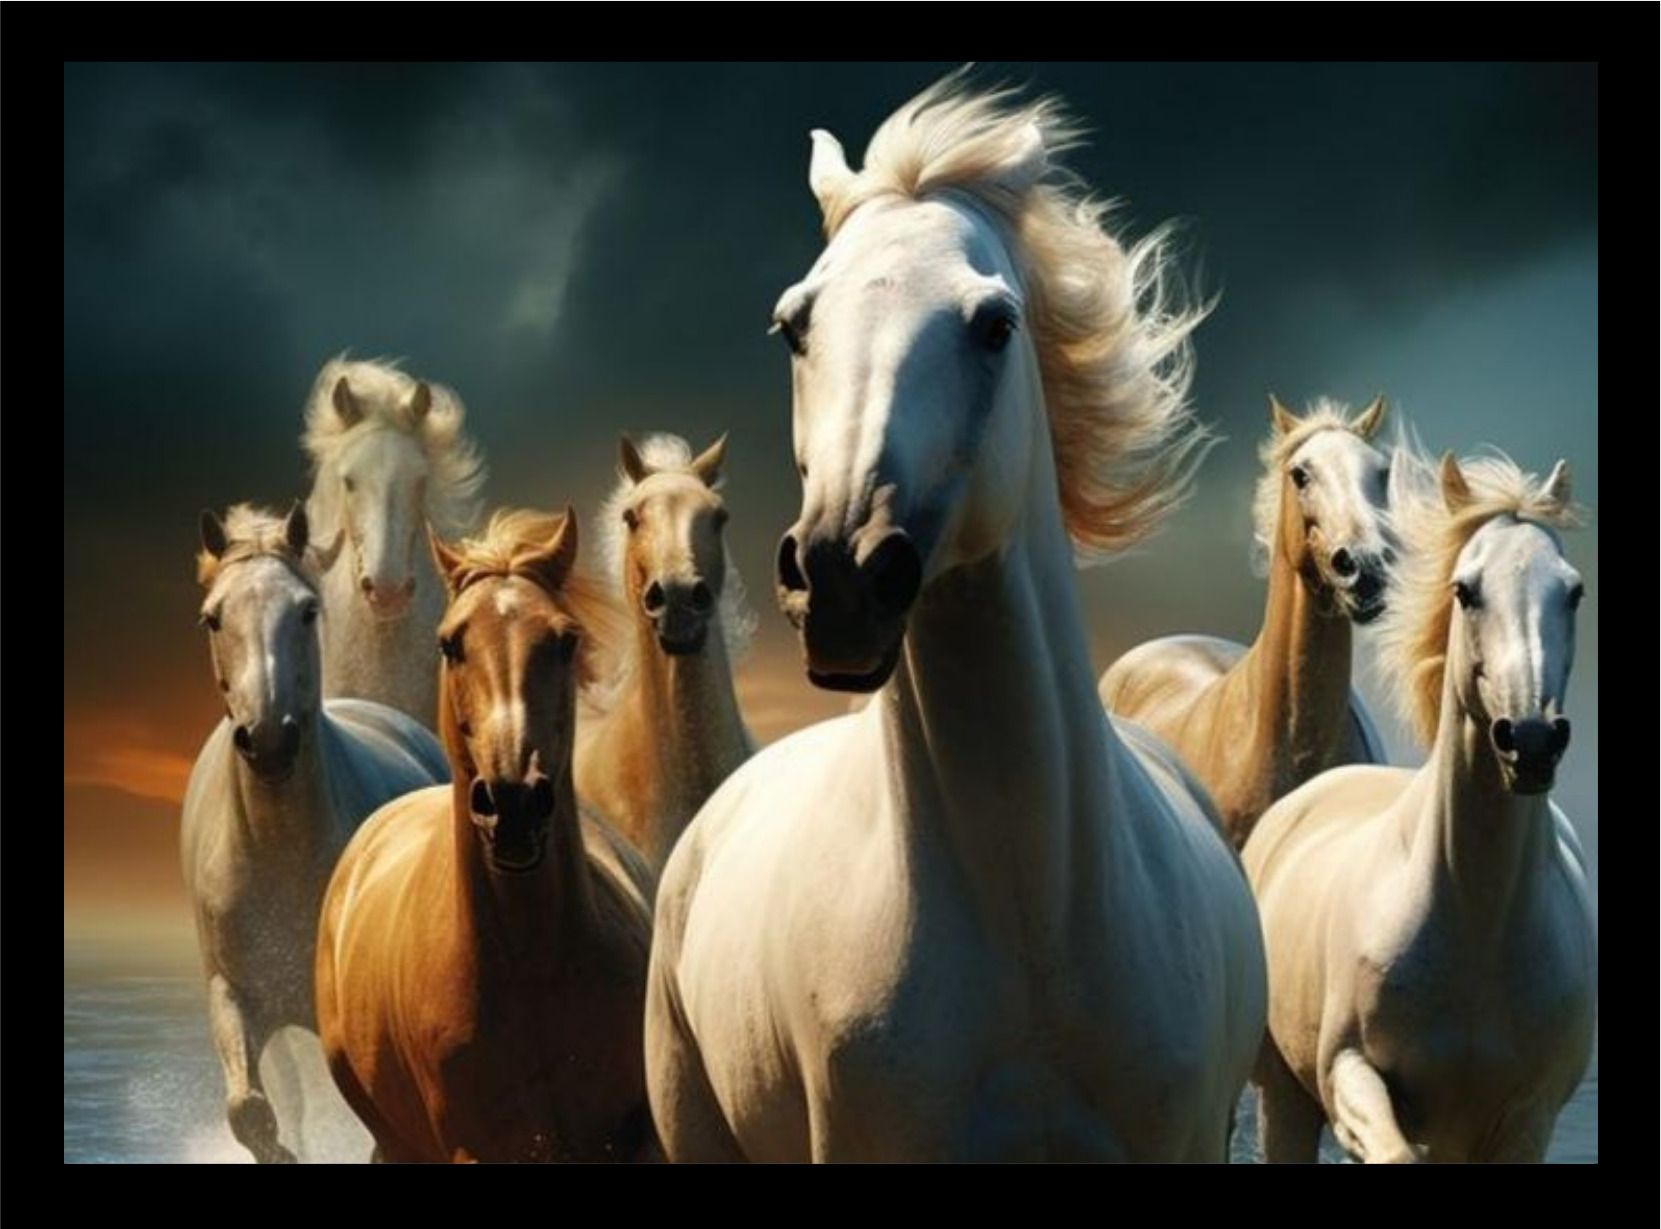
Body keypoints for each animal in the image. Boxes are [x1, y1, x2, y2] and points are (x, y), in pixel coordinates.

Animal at [180, 503, 449, 1163]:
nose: (269, 739)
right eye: (212, 617)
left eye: (305, 610)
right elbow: (250, 1111)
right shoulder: (234, 995)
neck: (280, 852)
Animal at [1242, 449, 1596, 1162]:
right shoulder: (1350, 1074)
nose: (1531, 740)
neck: (1476, 924)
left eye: (1572, 590)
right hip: (1282, 1095)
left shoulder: (1525, 1118)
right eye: (1466, 590)